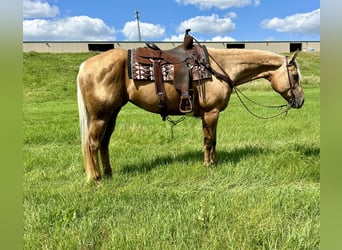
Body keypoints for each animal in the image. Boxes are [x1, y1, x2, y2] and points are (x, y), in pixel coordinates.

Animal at [77, 46, 304, 182]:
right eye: (294, 76)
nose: (301, 101)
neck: (219, 67)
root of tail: (85, 66)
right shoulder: (211, 112)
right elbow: (209, 141)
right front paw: (208, 165)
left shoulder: (208, 114)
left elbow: (212, 140)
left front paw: (214, 163)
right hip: (100, 116)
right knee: (93, 144)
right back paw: (96, 178)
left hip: (112, 114)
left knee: (104, 143)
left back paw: (108, 173)